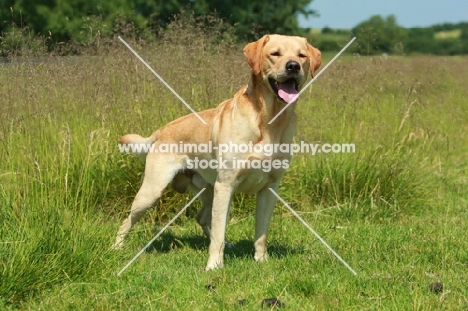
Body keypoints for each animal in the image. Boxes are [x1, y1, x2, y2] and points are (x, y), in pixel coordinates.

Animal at [112, 34, 322, 270]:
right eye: (275, 54)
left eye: (301, 55)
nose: (293, 66)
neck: (270, 120)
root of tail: (162, 130)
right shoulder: (226, 184)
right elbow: (220, 232)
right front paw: (213, 265)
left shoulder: (270, 188)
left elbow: (261, 233)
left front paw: (261, 260)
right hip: (153, 192)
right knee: (126, 221)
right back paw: (116, 247)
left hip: (209, 190)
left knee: (202, 218)